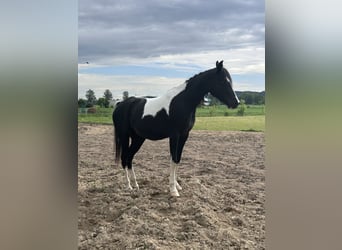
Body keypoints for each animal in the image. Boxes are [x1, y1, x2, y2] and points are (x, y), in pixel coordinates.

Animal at [113, 61, 239, 197]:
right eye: (222, 81)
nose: (236, 102)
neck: (183, 102)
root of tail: (120, 105)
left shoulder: (184, 135)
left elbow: (178, 159)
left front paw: (177, 186)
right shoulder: (175, 136)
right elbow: (173, 159)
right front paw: (173, 190)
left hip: (138, 138)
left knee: (129, 158)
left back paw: (136, 185)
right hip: (124, 136)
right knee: (124, 158)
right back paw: (129, 186)